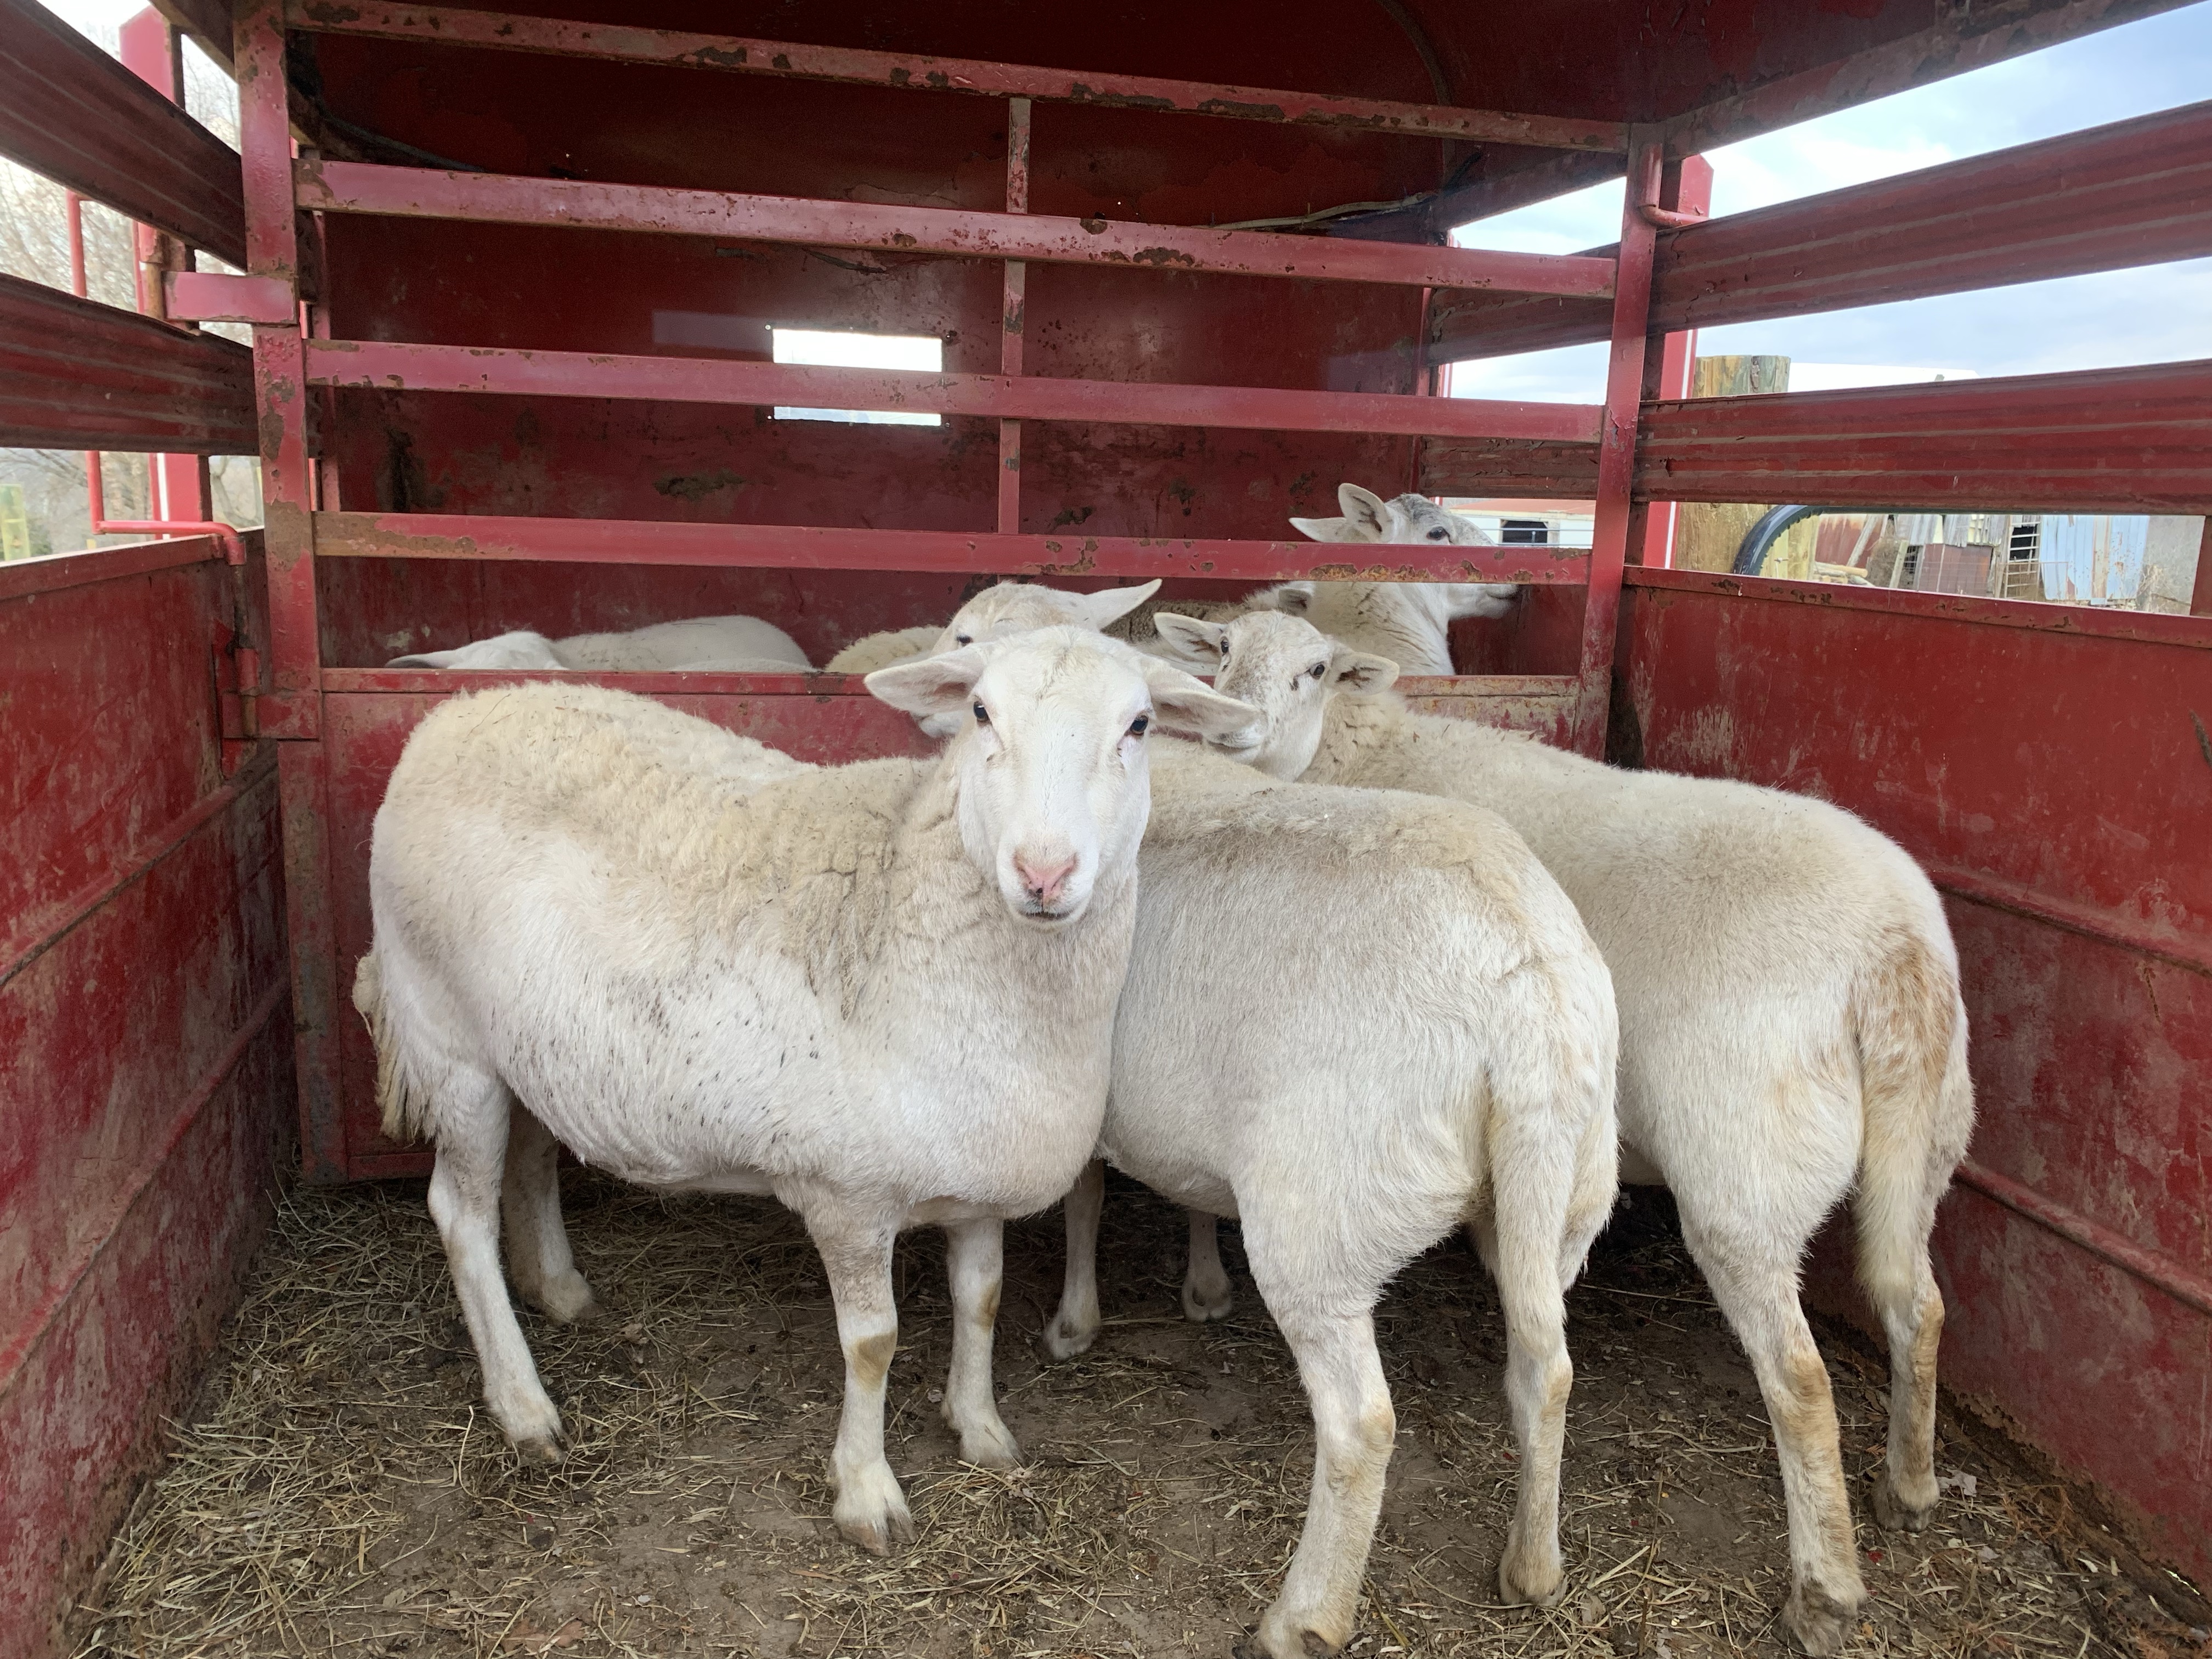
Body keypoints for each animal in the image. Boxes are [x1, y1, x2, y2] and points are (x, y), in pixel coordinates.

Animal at [350, 629, 1259, 1553]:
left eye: (1139, 725)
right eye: (980, 712)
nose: (1044, 873)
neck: (908, 908)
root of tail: (456, 715)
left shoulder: (975, 1181)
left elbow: (981, 1303)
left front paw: (980, 1428)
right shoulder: (847, 1193)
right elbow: (873, 1343)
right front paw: (866, 1491)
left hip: (531, 1047)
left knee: (532, 1158)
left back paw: (561, 1290)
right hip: (449, 1040)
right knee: (460, 1216)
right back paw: (523, 1405)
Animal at [1035, 741, 1619, 1657]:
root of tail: (1522, 995)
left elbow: (1085, 1197)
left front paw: (1074, 1323)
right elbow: (1183, 1192)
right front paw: (1204, 1284)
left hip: (1326, 1210)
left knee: (1360, 1424)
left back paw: (1305, 1616)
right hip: (1568, 1191)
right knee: (1546, 1371)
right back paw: (1532, 1569)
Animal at [1156, 605, 1977, 1657]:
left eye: (1314, 670)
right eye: (1222, 652)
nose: (1233, 729)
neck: (1364, 751)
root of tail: (1896, 954)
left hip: (1747, 1172)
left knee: (1800, 1377)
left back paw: (1822, 1588)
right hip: (1927, 1139)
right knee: (1917, 1303)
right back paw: (1908, 1487)